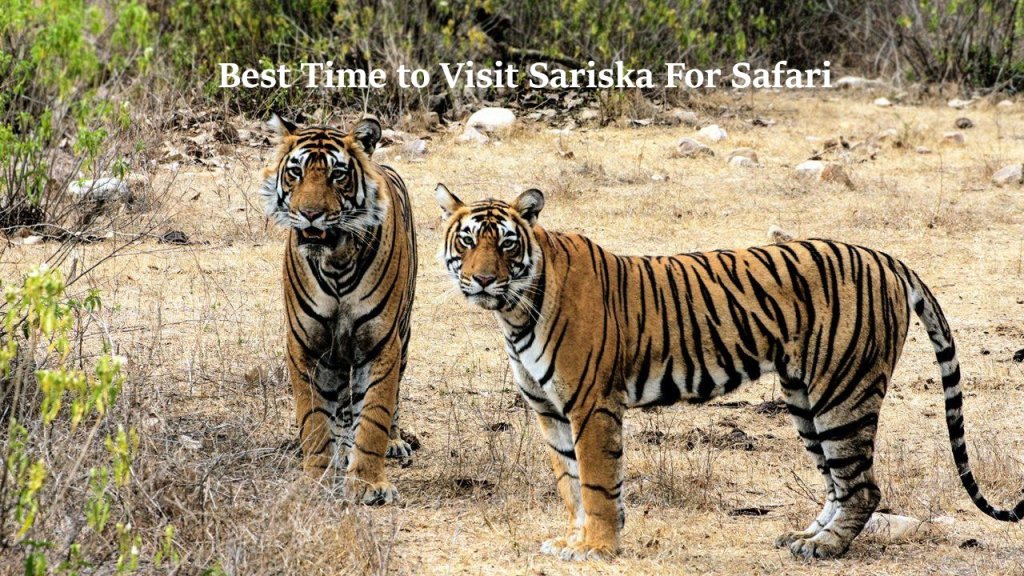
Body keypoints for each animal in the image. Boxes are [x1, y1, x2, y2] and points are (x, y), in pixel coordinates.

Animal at [260, 114, 417, 504]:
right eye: (296, 172)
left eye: (338, 175)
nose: (310, 215)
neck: (337, 262)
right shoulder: (305, 346)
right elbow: (314, 419)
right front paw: (316, 479)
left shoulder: (381, 345)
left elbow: (375, 414)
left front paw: (369, 484)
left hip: (404, 335)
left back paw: (393, 443)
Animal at [434, 183, 1024, 561]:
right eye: (467, 241)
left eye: (506, 243)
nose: (482, 280)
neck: (514, 312)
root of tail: (884, 256)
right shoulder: (550, 410)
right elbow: (571, 483)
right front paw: (575, 539)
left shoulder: (591, 404)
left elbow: (597, 482)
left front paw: (597, 549)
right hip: (805, 398)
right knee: (838, 482)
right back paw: (802, 537)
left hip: (842, 393)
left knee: (862, 487)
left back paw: (824, 549)